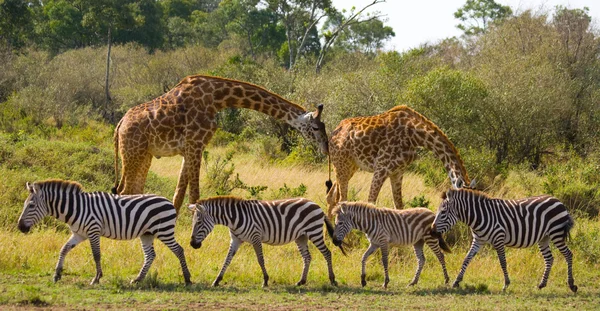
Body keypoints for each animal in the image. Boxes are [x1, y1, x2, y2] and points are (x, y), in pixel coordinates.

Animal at [16, 179, 191, 286]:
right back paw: (138, 279)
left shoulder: (93, 230)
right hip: (146, 234)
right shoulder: (79, 234)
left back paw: (187, 278)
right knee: (150, 255)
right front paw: (57, 274)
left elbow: (96, 255)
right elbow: (64, 249)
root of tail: (168, 201)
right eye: (25, 204)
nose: (20, 227)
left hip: (164, 231)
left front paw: (96, 278)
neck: (76, 208)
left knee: (179, 250)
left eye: (31, 205)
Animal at [112, 74, 328, 213]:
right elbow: (194, 195)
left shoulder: (189, 147)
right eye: (316, 127)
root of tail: (119, 125)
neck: (218, 98)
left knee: (135, 190)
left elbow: (178, 195)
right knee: (124, 191)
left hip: (144, 155)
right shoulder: (196, 143)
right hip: (132, 152)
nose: (326, 149)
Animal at [188, 197, 346, 288]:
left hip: (314, 232)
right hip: (301, 236)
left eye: (199, 222)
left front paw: (265, 280)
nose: (192, 244)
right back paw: (301, 281)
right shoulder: (236, 240)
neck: (234, 219)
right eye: (193, 222)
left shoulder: (255, 237)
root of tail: (316, 204)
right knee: (307, 257)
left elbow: (260, 259)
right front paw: (217, 280)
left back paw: (332, 280)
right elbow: (227, 260)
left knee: (327, 253)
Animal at [326, 106, 472, 218]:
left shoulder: (398, 172)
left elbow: (399, 206)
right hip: (342, 164)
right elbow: (371, 202)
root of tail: (333, 133)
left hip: (349, 166)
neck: (415, 135)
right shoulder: (381, 167)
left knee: (331, 196)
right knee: (341, 200)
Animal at [432, 188, 576, 292]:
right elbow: (467, 259)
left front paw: (506, 284)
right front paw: (456, 281)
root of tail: (557, 200)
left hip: (556, 233)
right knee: (549, 259)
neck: (480, 217)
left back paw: (571, 285)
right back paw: (542, 284)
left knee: (568, 254)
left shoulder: (498, 238)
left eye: (443, 212)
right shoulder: (478, 240)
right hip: (544, 238)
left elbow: (502, 262)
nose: (432, 230)